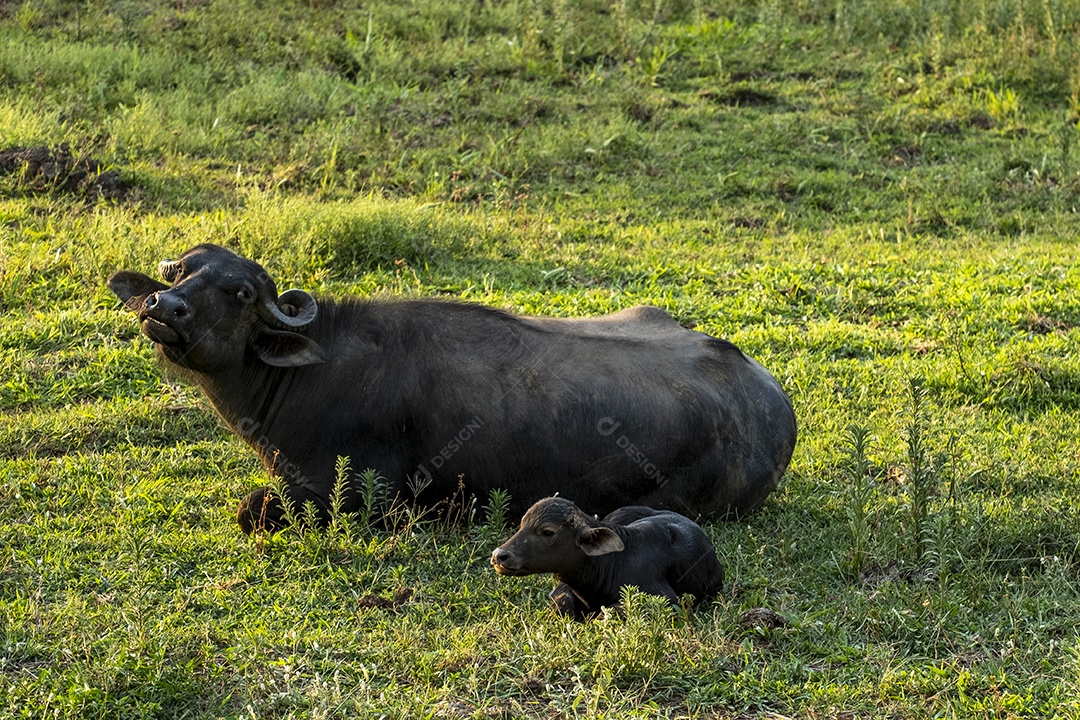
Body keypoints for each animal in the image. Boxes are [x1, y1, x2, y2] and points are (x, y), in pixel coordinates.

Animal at [109, 245, 799, 533]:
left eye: (241, 292)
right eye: (181, 270)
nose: (163, 307)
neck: (303, 375)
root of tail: (771, 405)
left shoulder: (356, 496)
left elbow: (253, 507)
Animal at [490, 496, 725, 621]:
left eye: (547, 532)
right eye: (522, 524)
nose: (499, 555)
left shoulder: (664, 597)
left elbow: (604, 614)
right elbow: (562, 604)